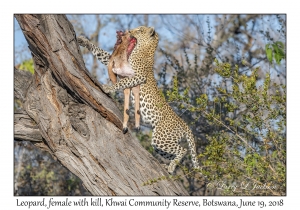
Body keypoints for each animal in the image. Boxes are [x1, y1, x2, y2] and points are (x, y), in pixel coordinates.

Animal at [77, 25, 199, 174]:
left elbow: (122, 82)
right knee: (173, 154)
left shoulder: (137, 76)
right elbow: (104, 55)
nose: (129, 31)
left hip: (161, 138)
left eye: (140, 30)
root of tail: (184, 124)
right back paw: (170, 168)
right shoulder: (120, 64)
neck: (143, 49)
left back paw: (171, 167)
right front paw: (84, 41)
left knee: (183, 149)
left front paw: (107, 88)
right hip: (160, 143)